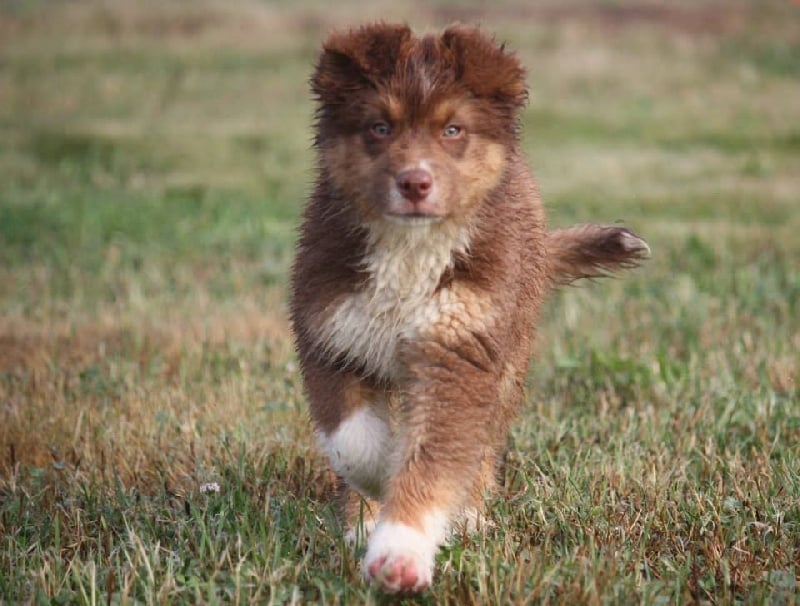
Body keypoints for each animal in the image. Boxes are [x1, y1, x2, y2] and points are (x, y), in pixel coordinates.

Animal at [290, 23, 648, 592]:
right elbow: (354, 442)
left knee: (485, 440)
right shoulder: (331, 331)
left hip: (511, 346)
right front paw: (372, 505)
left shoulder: (461, 342)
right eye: (380, 127)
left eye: (452, 130)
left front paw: (401, 550)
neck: (410, 250)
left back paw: (471, 515)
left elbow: (438, 453)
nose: (415, 183)